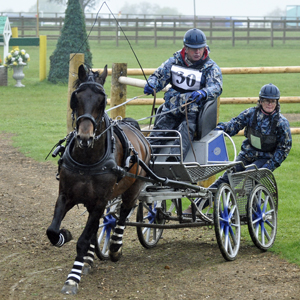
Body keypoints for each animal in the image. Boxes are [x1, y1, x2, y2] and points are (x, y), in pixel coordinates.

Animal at [47, 63, 152, 292]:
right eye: (76, 97)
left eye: (102, 100)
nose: (84, 137)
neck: (87, 159)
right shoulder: (66, 195)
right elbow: (52, 231)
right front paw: (65, 236)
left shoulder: (100, 201)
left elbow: (83, 239)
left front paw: (73, 278)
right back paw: (89, 259)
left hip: (133, 188)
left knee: (122, 215)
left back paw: (114, 248)